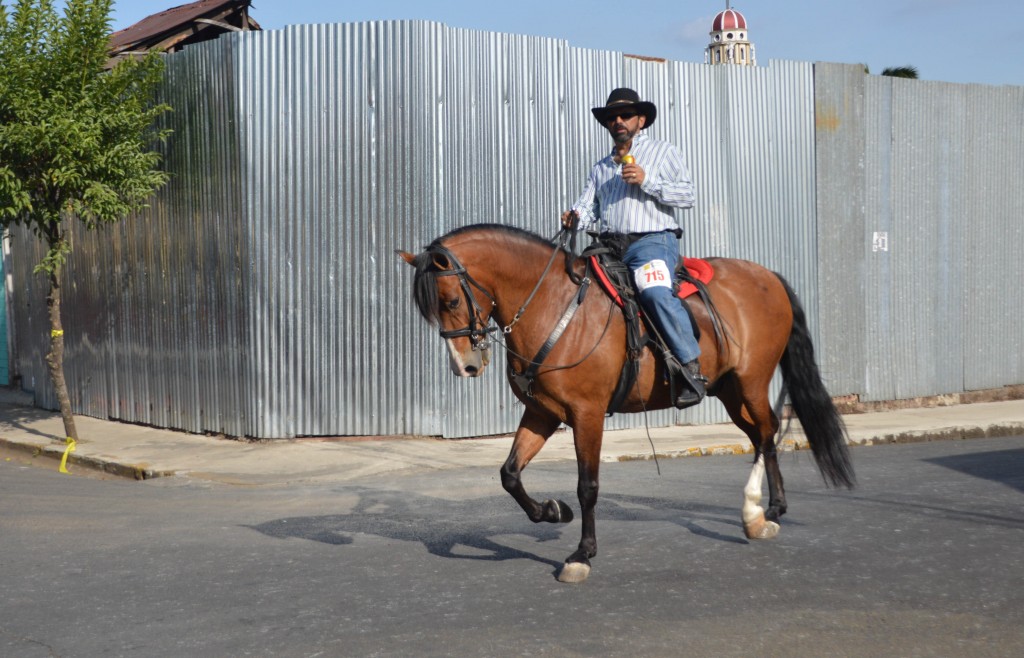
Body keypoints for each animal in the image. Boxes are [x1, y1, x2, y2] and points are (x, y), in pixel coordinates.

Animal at [399, 224, 856, 585]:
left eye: (451, 301)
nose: (466, 366)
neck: (553, 306)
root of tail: (767, 276)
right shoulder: (542, 412)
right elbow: (509, 474)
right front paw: (552, 511)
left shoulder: (587, 414)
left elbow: (587, 486)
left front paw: (582, 555)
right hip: (729, 390)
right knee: (764, 435)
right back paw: (767, 511)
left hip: (752, 382)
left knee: (765, 432)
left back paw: (759, 513)